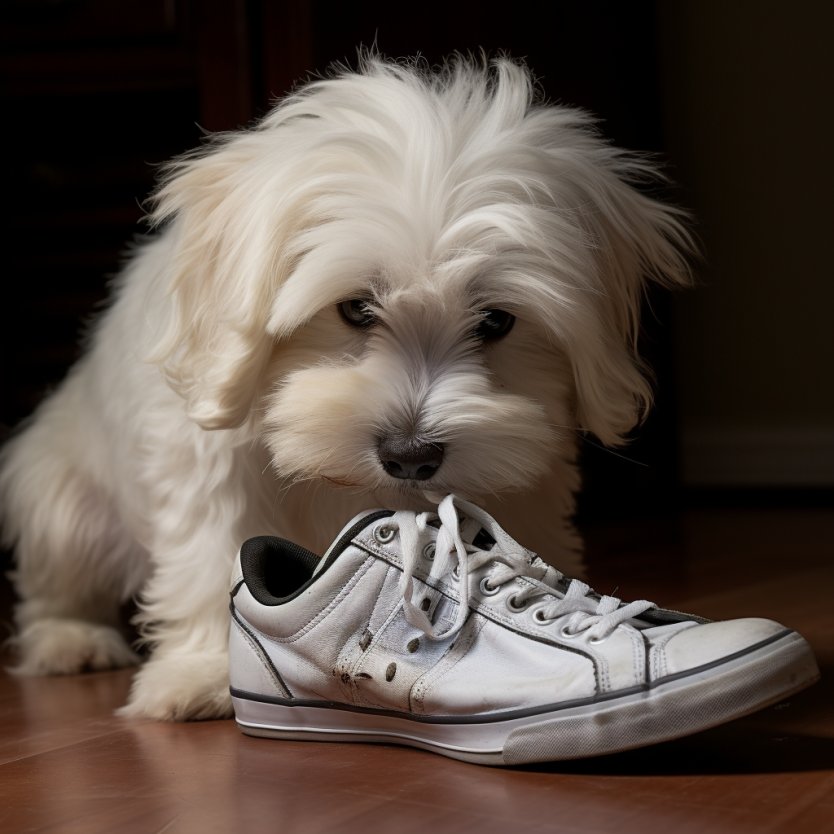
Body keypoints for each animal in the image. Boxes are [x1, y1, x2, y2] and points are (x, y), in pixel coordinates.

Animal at [0, 55, 688, 716]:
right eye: (355, 308)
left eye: (495, 321)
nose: (411, 456)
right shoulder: (208, 456)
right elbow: (211, 553)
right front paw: (204, 671)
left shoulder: (518, 465)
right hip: (62, 504)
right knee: (57, 585)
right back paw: (72, 642)